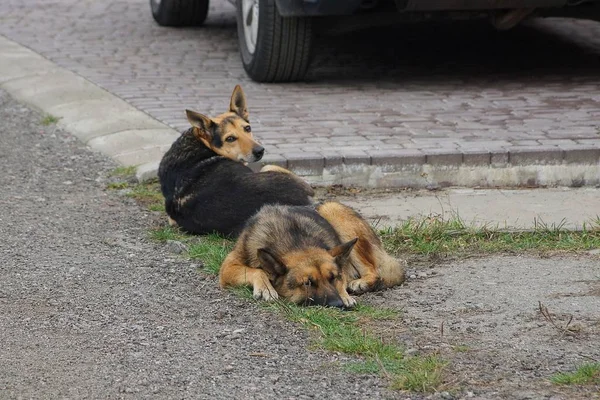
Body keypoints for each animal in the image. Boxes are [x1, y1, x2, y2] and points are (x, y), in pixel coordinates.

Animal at [218, 202, 406, 308]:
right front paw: (266, 288)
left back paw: (362, 283)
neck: (295, 239)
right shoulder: (228, 267)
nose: (337, 304)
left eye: (332, 278)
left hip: (333, 211)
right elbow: (257, 271)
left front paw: (345, 295)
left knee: (374, 270)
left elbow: (342, 277)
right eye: (308, 283)